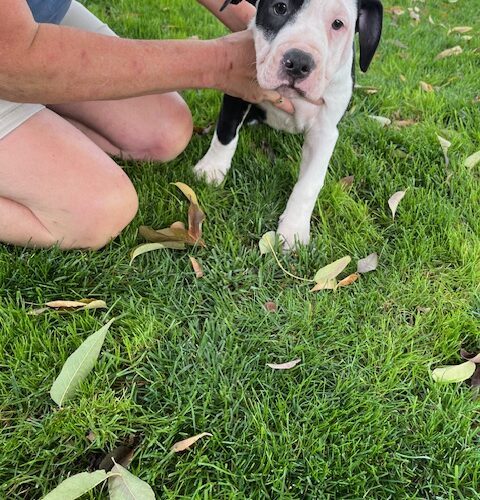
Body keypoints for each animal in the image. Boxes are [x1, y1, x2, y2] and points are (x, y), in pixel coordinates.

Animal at [193, 0, 384, 249]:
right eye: (280, 7)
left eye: (337, 23)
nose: (299, 62)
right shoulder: (238, 88)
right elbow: (226, 132)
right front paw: (212, 169)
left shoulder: (324, 133)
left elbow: (309, 184)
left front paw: (294, 229)